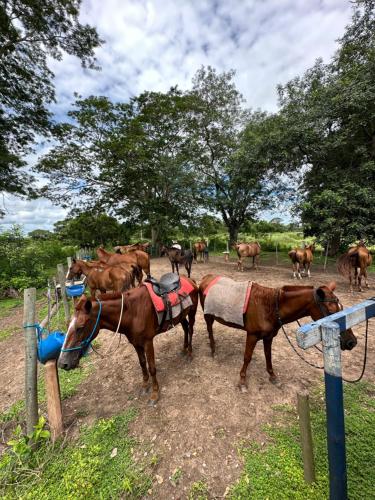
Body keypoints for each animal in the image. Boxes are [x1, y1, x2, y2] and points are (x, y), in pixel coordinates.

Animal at [58, 280, 200, 404]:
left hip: (192, 312)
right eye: (68, 325)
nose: (62, 363)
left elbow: (152, 368)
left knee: (190, 329)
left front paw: (155, 394)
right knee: (185, 328)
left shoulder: (148, 342)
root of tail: (190, 280)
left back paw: (190, 353)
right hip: (181, 316)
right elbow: (142, 364)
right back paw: (184, 349)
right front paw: (145, 386)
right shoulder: (136, 343)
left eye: (80, 327)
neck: (132, 311)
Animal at [198, 276, 356, 392]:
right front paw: (242, 381)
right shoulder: (252, 335)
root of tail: (206, 278)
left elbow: (268, 356)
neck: (270, 307)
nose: (351, 342)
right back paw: (213, 349)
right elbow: (247, 357)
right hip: (208, 316)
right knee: (209, 329)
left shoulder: (268, 337)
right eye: (331, 311)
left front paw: (273, 377)